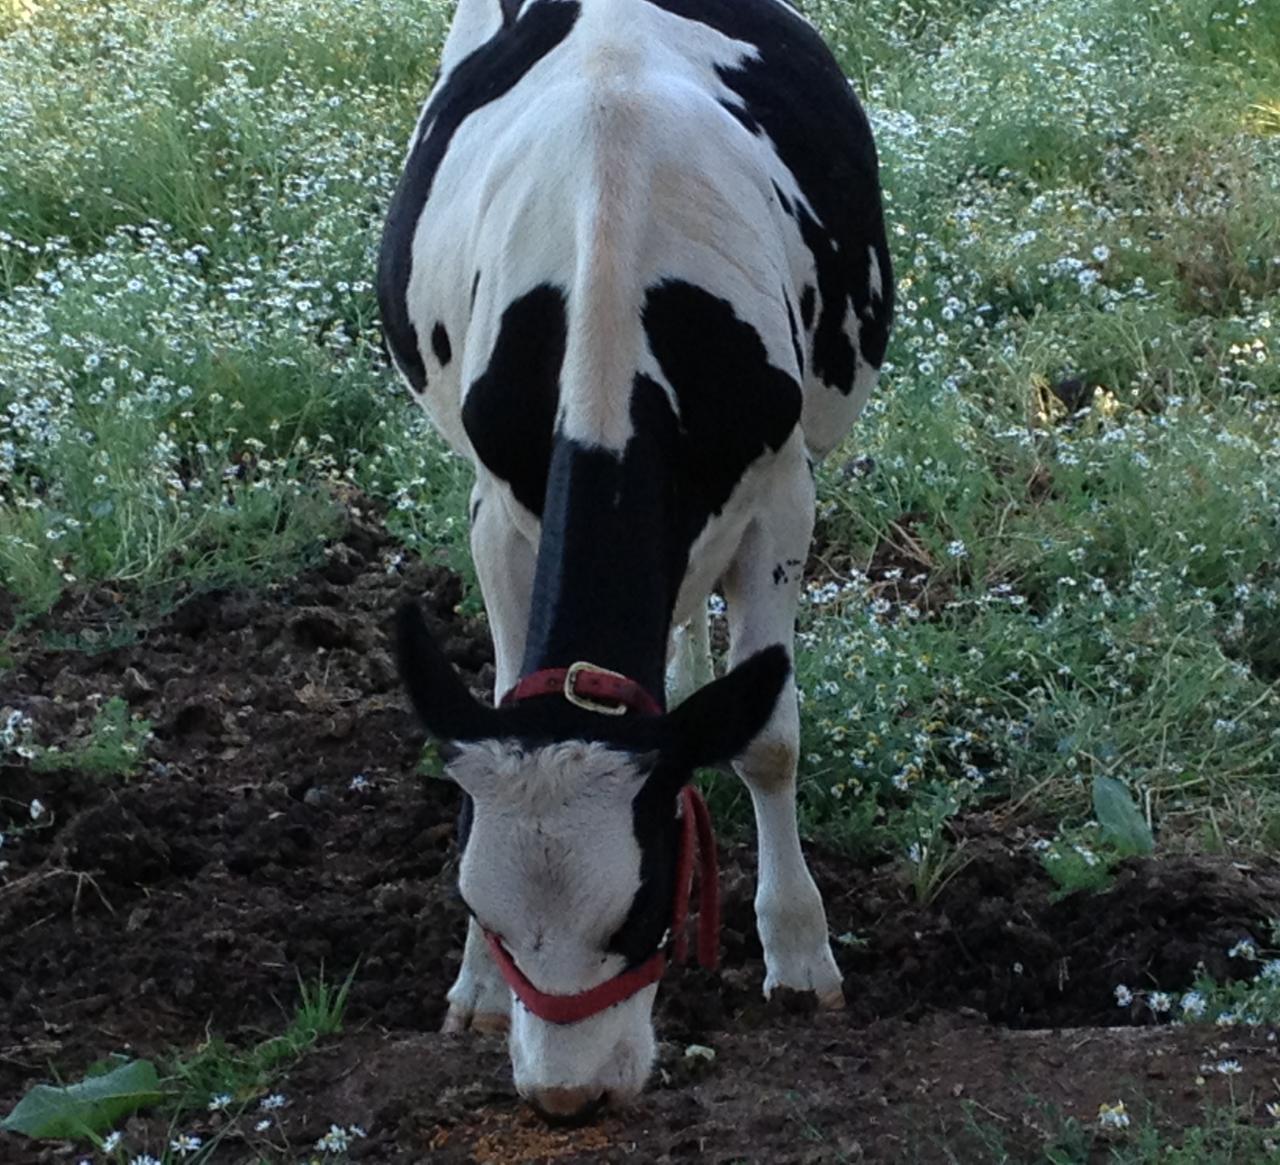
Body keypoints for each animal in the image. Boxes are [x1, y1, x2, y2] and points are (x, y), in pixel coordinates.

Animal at [378, 0, 893, 1123]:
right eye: (483, 906)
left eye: (645, 907)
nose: (566, 1096)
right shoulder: (496, 512)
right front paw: (476, 987)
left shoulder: (782, 493)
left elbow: (770, 737)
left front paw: (799, 953)